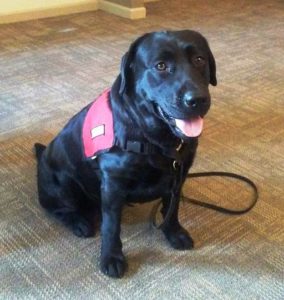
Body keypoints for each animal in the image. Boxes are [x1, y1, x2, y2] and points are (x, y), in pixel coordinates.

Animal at [35, 29, 217, 278]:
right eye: (160, 66)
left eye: (199, 59)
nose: (196, 99)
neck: (155, 139)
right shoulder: (113, 185)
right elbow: (111, 227)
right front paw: (111, 257)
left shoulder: (179, 175)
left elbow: (172, 209)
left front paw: (174, 232)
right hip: (63, 185)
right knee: (58, 209)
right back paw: (79, 222)